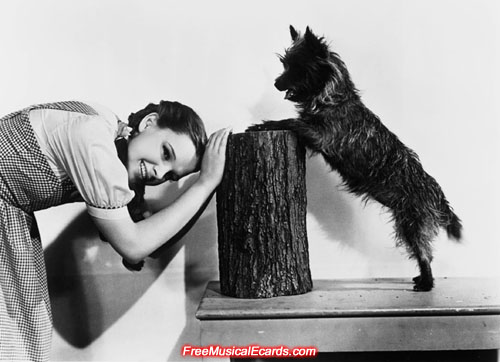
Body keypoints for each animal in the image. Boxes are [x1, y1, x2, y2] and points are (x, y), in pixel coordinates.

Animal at [248, 26, 462, 292]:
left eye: (297, 67)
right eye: (285, 65)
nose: (277, 83)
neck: (331, 97)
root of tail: (438, 196)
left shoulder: (320, 136)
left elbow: (291, 121)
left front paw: (261, 125)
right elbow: (293, 121)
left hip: (412, 224)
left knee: (425, 254)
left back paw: (426, 282)